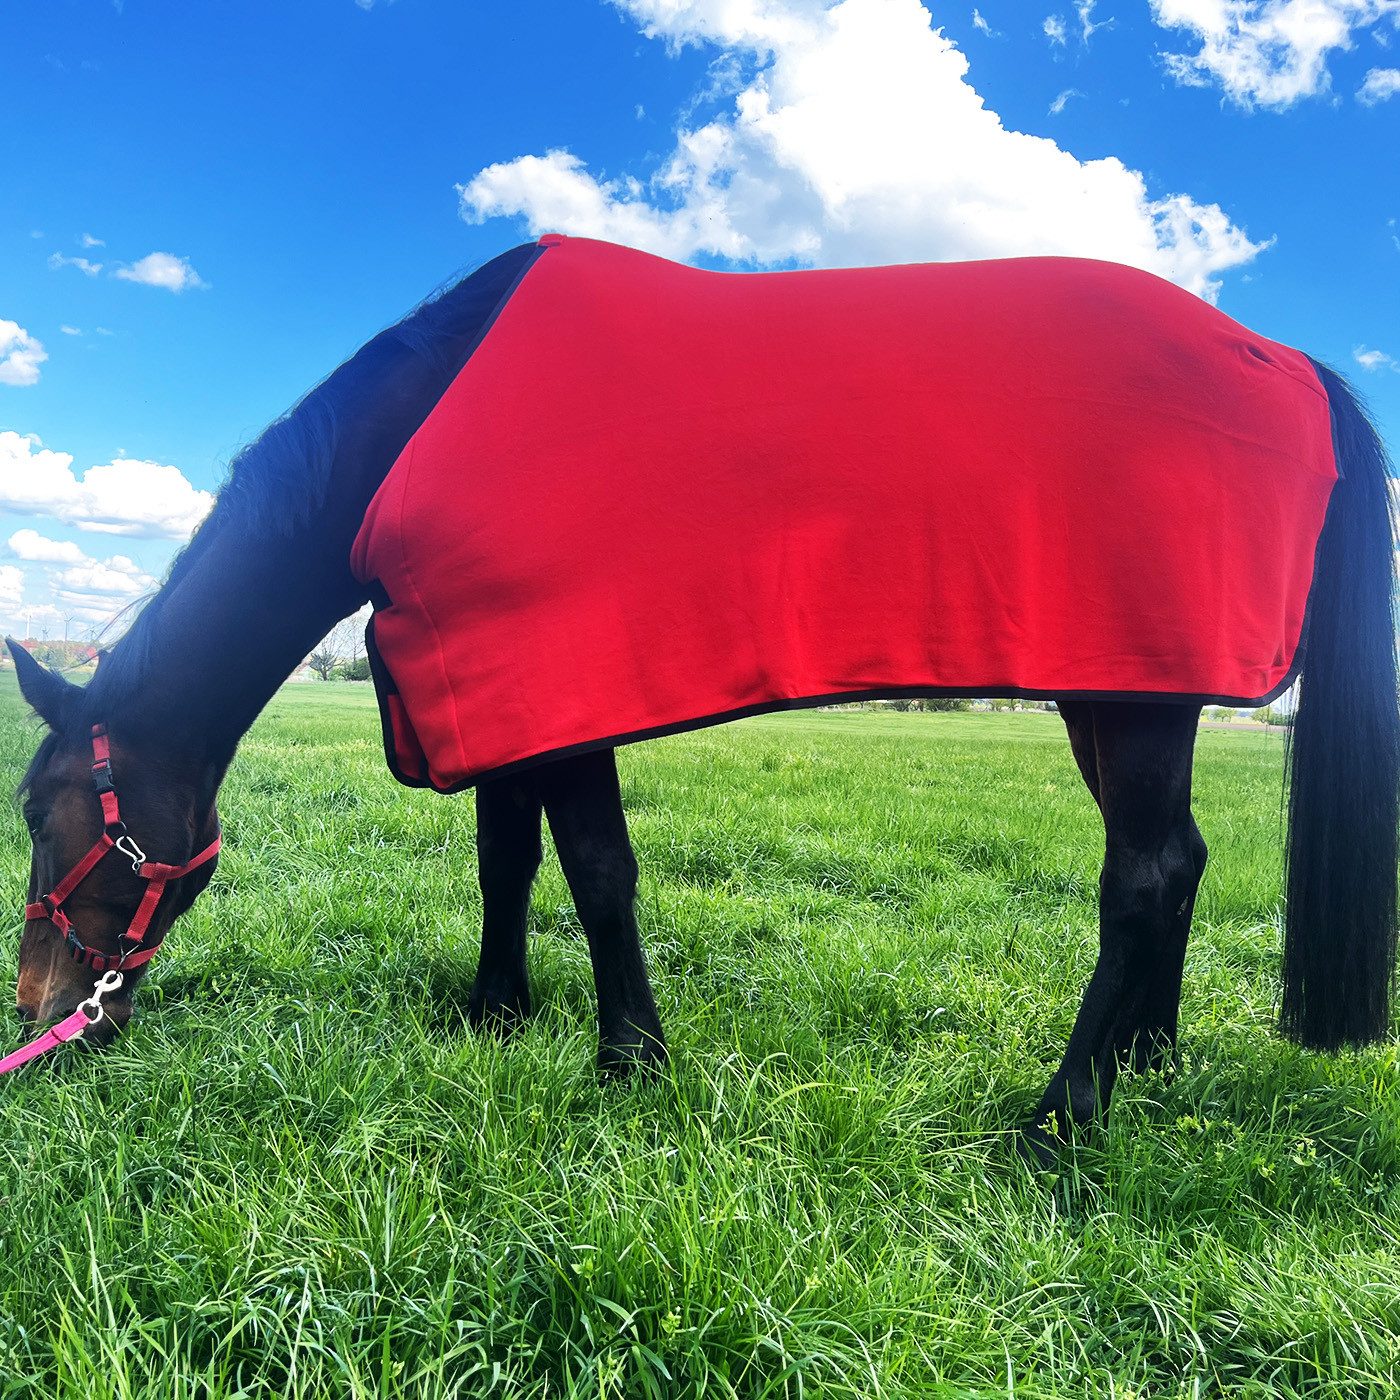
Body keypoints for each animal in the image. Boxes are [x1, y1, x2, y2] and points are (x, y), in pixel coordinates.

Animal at [8, 236, 1397, 1162]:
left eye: (44, 809)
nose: (39, 1009)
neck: (409, 432)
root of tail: (1287, 362)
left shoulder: (555, 681)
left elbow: (594, 869)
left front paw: (628, 1058)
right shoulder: (494, 681)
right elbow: (507, 858)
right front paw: (496, 1014)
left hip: (1136, 690)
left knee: (1144, 873)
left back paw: (1062, 1116)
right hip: (1115, 688)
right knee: (1178, 857)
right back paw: (1147, 1058)